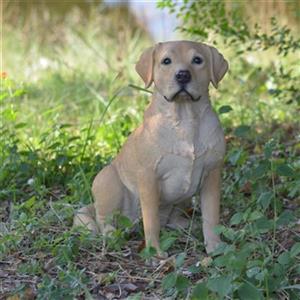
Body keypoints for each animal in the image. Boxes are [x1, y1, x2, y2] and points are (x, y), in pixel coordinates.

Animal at [74, 39, 229, 255]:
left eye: (198, 60)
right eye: (166, 61)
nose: (183, 75)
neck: (185, 119)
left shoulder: (212, 175)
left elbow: (211, 216)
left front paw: (215, 245)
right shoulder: (148, 179)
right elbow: (151, 221)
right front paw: (154, 251)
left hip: (183, 197)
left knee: (170, 219)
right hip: (108, 180)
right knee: (103, 219)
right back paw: (113, 235)